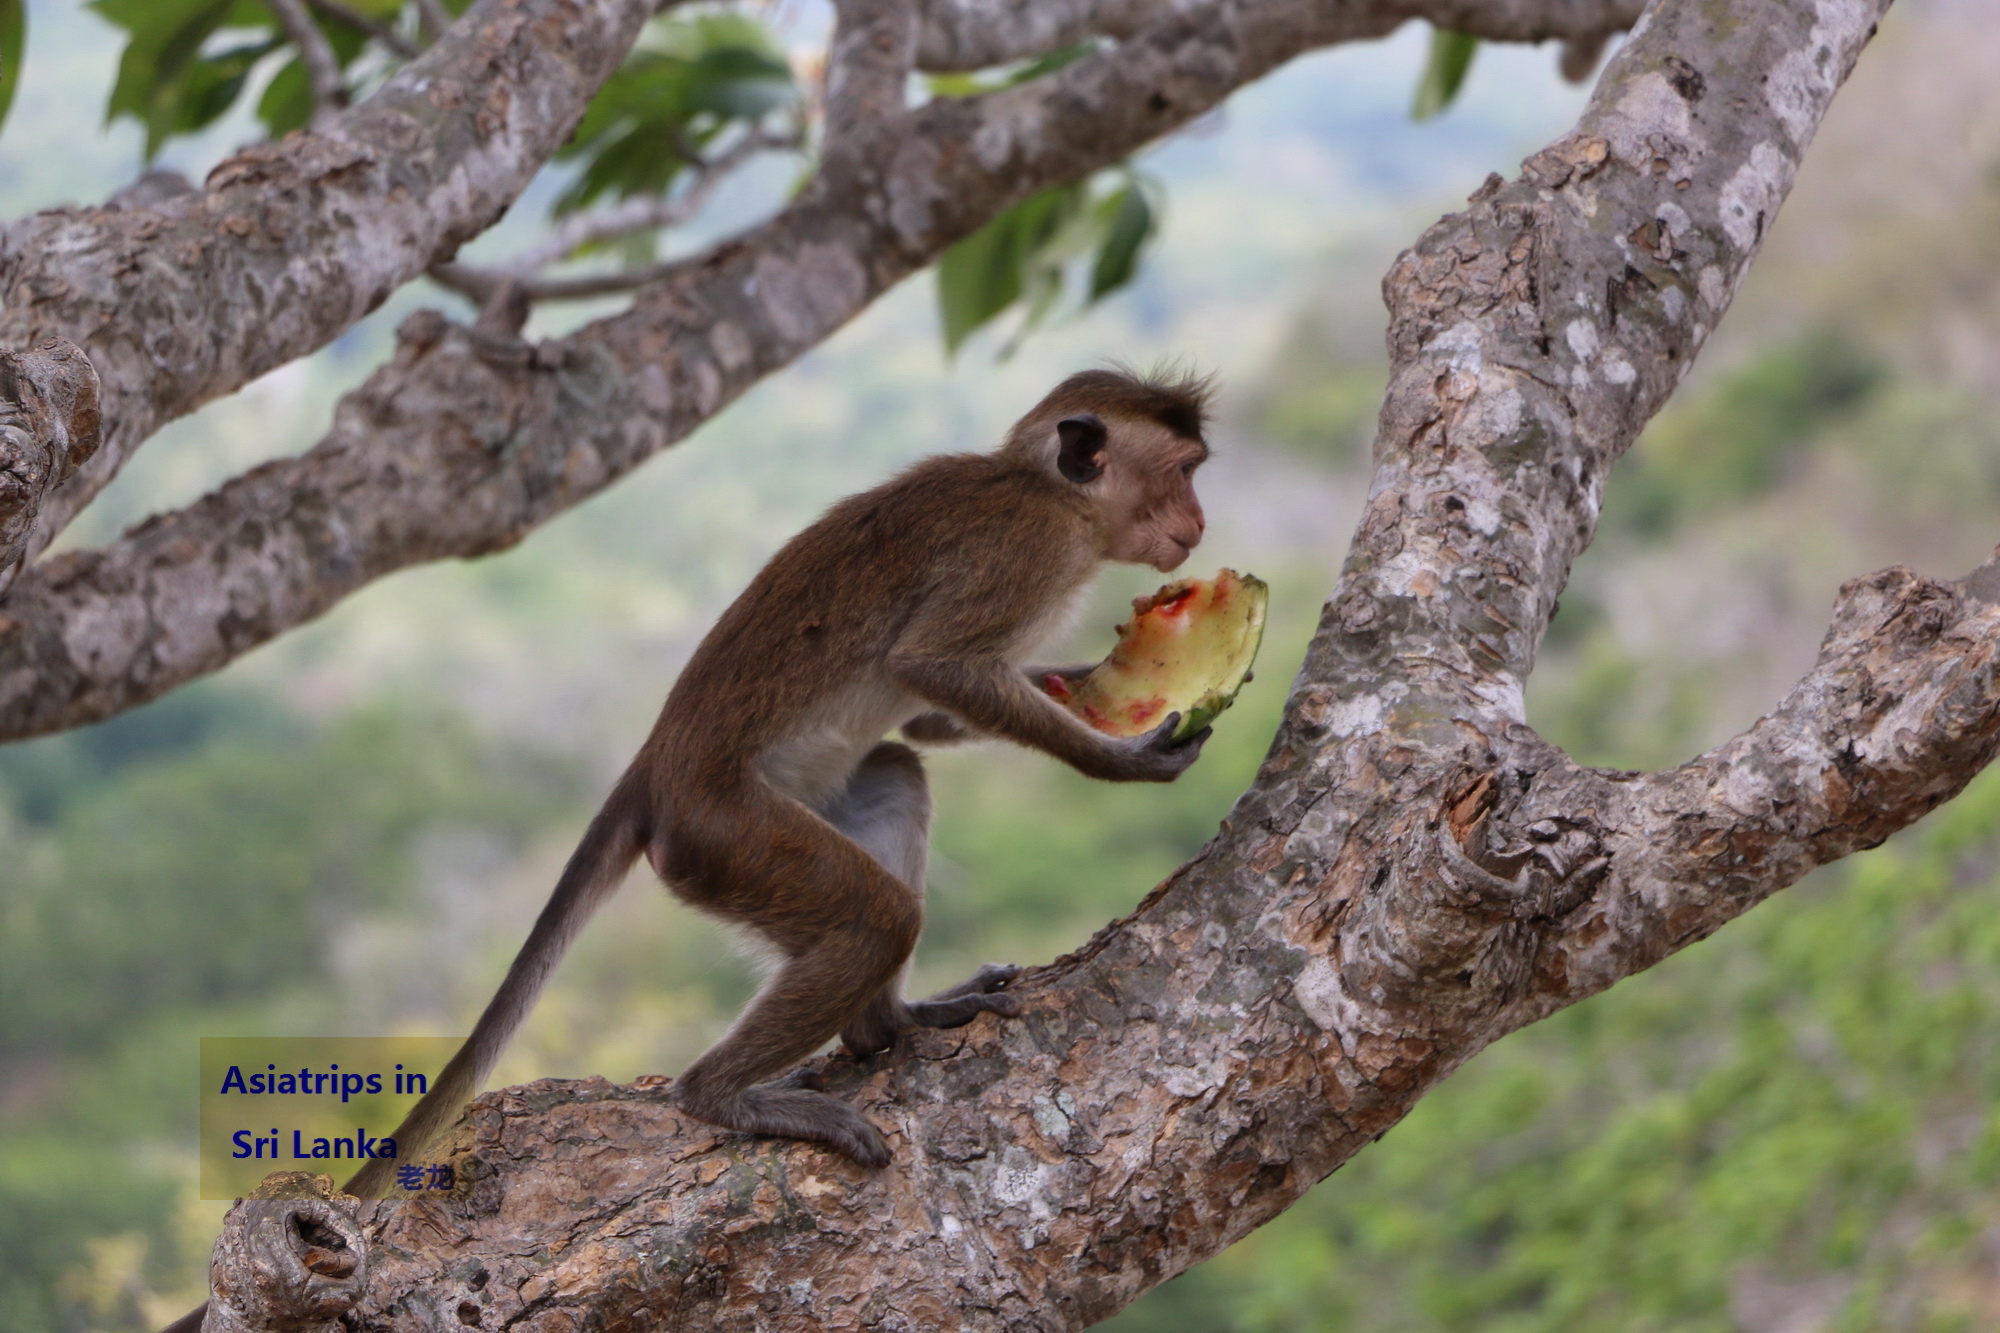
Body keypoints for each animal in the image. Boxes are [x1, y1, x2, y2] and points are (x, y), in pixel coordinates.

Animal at [344, 366, 1208, 1192]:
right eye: (1183, 470)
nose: (1199, 525)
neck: (1051, 492)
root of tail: (654, 770)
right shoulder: (1026, 551)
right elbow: (931, 665)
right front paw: (1121, 757)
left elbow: (927, 722)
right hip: (727, 836)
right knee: (874, 919)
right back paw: (723, 1093)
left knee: (895, 772)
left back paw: (892, 1020)